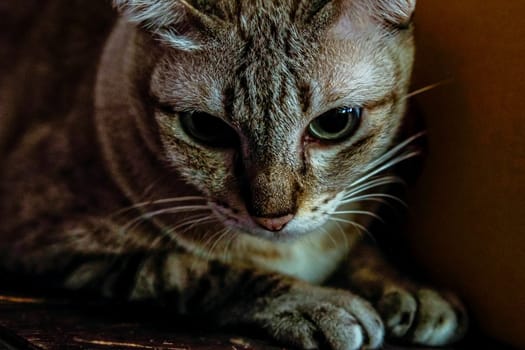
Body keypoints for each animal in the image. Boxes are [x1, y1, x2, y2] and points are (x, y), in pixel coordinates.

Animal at [0, 0, 466, 348]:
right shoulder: (43, 234)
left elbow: (359, 245)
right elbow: (199, 272)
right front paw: (315, 303)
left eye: (335, 123)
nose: (273, 218)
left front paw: (408, 286)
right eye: (206, 129)